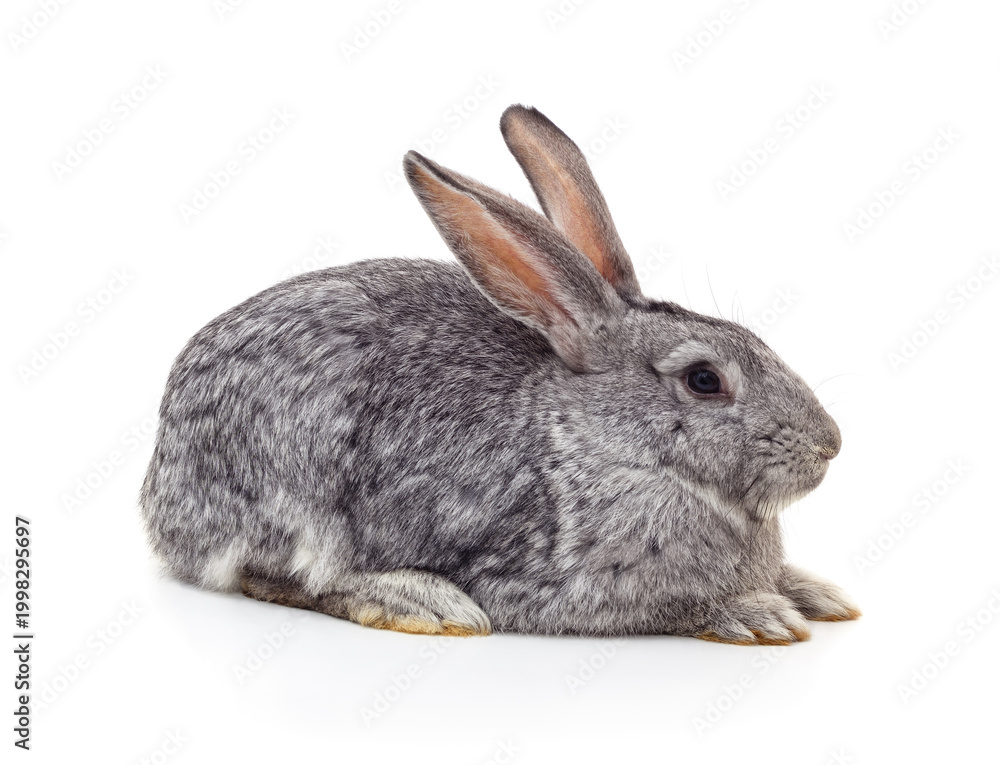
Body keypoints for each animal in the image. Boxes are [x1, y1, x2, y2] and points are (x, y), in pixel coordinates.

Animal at [140, 104, 860, 644]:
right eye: (704, 380)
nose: (829, 444)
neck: (598, 445)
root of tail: (161, 486)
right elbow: (674, 605)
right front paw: (759, 613)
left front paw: (816, 593)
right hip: (297, 492)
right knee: (286, 576)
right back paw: (423, 601)